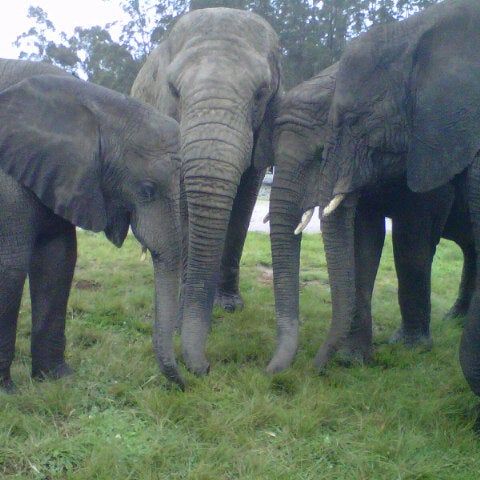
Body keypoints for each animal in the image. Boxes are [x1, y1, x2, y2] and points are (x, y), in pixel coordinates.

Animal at [0, 60, 182, 392]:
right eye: (147, 190)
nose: (187, 382)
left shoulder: (59, 174)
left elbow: (58, 260)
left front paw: (57, 378)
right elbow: (9, 268)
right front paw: (7, 392)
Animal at [268, 62, 474, 374]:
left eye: (320, 154)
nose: (313, 368)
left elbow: (411, 239)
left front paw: (410, 347)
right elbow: (362, 240)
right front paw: (352, 358)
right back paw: (456, 319)